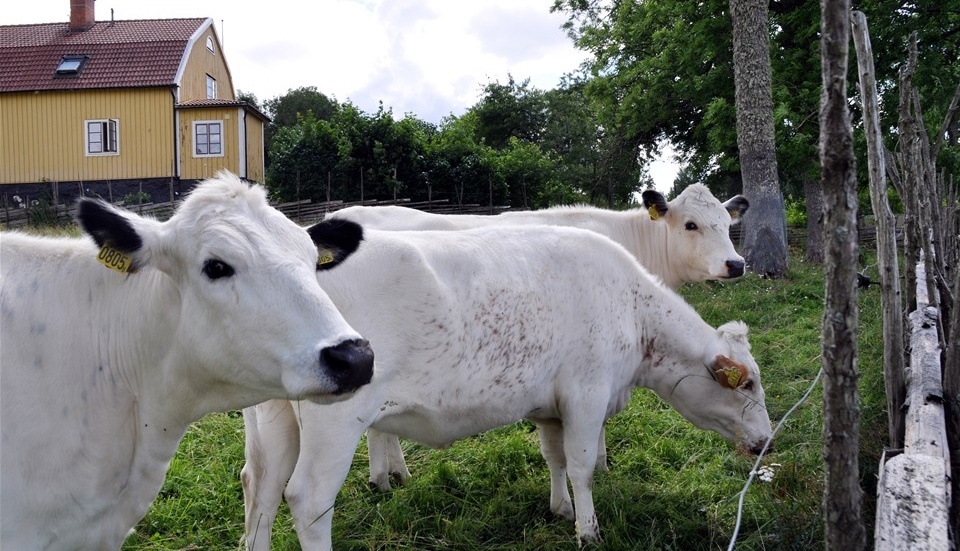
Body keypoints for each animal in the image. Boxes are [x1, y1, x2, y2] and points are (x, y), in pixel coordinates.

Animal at [240, 222, 772, 548]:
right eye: (747, 384)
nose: (767, 441)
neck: (630, 305)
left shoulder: (549, 406)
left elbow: (555, 460)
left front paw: (560, 509)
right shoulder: (586, 394)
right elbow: (583, 467)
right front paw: (588, 530)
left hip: (273, 418)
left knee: (259, 489)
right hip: (333, 423)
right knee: (307, 498)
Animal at [330, 184, 752, 488]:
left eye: (726, 222)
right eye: (691, 224)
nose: (736, 264)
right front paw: (601, 465)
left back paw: (395, 473)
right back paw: (385, 478)